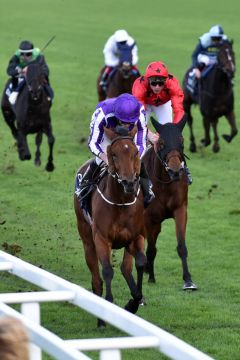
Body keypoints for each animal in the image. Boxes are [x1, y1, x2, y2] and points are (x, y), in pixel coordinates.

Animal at [74, 125, 146, 328]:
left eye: (135, 152)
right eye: (113, 154)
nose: (129, 183)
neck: (121, 202)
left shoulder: (136, 236)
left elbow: (140, 263)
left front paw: (133, 303)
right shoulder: (101, 238)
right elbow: (107, 270)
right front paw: (106, 310)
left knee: (126, 268)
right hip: (87, 239)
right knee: (96, 279)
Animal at [142, 116, 197, 292]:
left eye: (181, 140)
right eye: (161, 142)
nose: (175, 171)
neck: (165, 183)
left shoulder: (180, 210)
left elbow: (181, 246)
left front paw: (188, 280)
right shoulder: (148, 217)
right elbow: (151, 249)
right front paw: (151, 278)